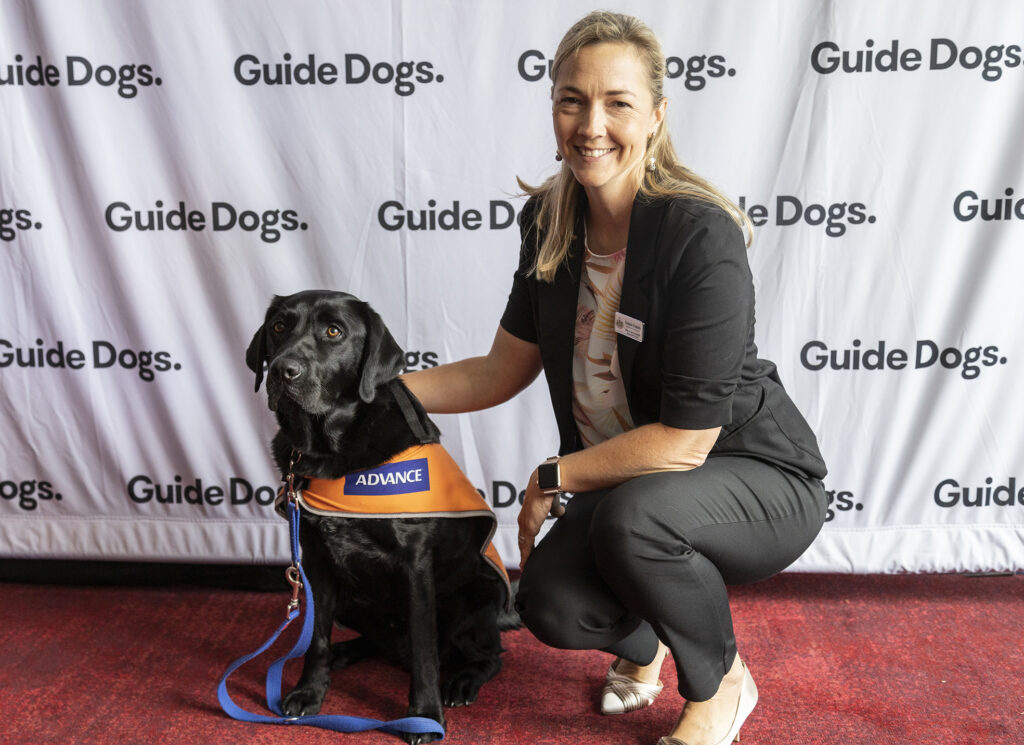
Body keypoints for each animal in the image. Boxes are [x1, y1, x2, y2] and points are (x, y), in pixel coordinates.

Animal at [247, 288, 512, 740]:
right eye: (279, 326)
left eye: (334, 331)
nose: (283, 370)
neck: (329, 453)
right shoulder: (316, 562)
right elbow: (315, 636)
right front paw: (309, 691)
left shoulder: (415, 566)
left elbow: (425, 653)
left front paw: (424, 714)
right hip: (351, 598)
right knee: (377, 641)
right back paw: (346, 652)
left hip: (475, 596)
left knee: (487, 655)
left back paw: (462, 682)